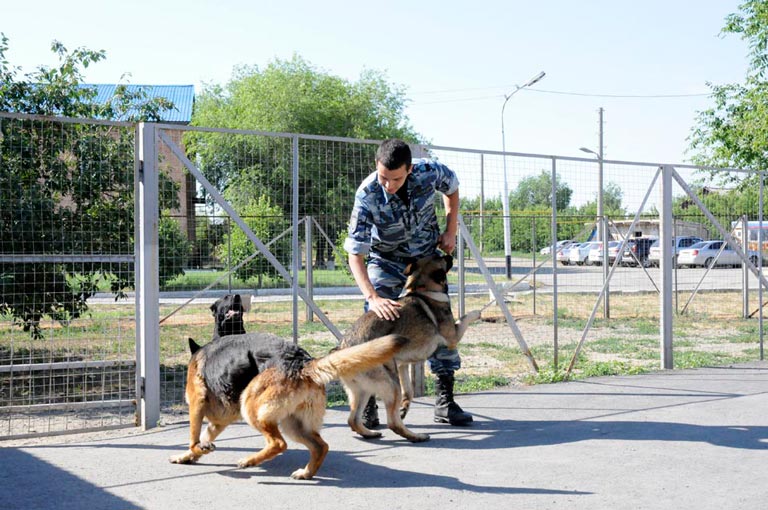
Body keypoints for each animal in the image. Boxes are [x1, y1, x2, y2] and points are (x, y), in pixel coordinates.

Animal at [168, 332, 408, 480]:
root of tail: (303, 363)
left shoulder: (196, 405)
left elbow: (193, 438)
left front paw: (196, 450)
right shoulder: (219, 422)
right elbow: (205, 436)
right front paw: (190, 456)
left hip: (251, 407)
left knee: (278, 443)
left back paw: (249, 461)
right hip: (294, 424)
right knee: (321, 446)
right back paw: (306, 473)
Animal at [338, 254, 476, 442]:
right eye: (439, 256)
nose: (449, 253)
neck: (421, 288)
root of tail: (346, 351)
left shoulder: (402, 365)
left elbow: (409, 392)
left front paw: (404, 408)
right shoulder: (452, 338)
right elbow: (465, 317)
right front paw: (477, 313)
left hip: (363, 390)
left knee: (352, 420)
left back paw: (370, 433)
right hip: (390, 384)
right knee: (392, 423)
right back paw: (416, 436)